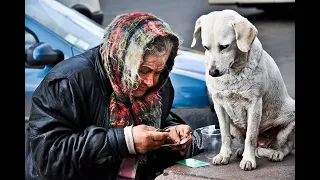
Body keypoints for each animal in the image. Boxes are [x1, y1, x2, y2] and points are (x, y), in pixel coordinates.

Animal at [190, 9, 296, 170]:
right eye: (206, 47)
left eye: (224, 46)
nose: (212, 72)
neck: (233, 73)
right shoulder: (219, 105)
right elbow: (225, 135)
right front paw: (224, 155)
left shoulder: (254, 104)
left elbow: (251, 137)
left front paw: (248, 159)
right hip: (235, 126)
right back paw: (241, 150)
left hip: (289, 120)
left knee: (286, 147)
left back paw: (276, 153)